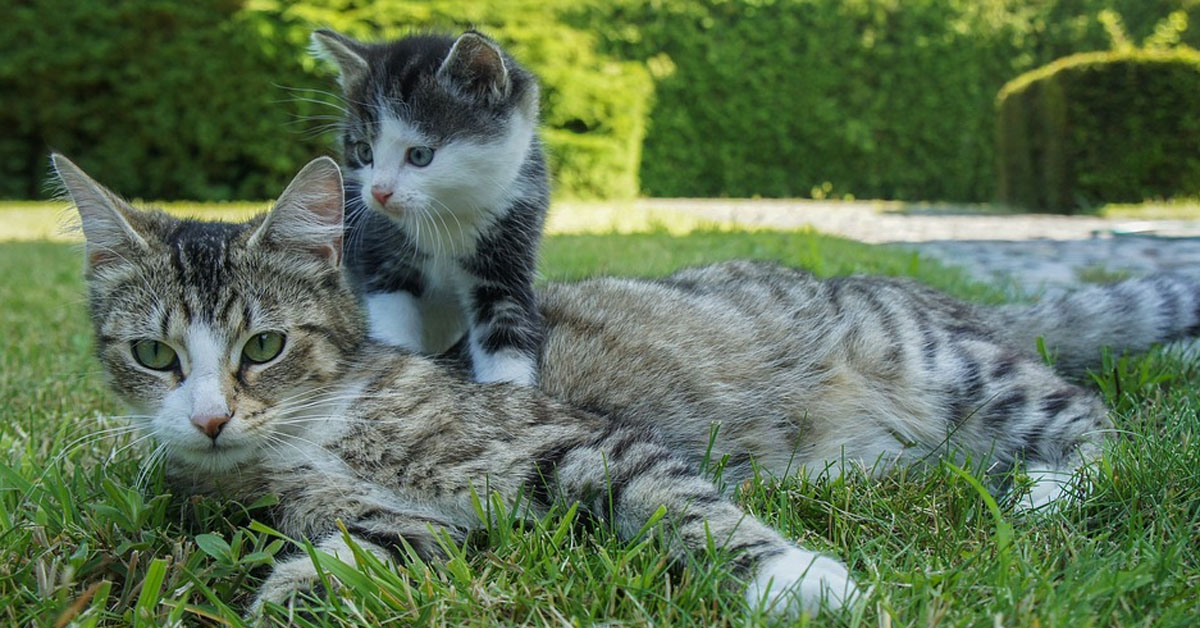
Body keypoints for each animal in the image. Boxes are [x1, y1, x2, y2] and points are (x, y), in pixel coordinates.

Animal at [56, 156, 864, 619]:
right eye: (153, 354)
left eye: (263, 345)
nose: (210, 419)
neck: (314, 432)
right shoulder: (383, 521)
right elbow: (391, 548)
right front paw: (290, 594)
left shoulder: (570, 434)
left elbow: (673, 494)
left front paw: (797, 578)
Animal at [312, 28, 549, 389]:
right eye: (365, 152)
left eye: (420, 155)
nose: (379, 192)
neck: (445, 214)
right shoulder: (381, 257)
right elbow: (393, 327)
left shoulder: (509, 251)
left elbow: (506, 335)